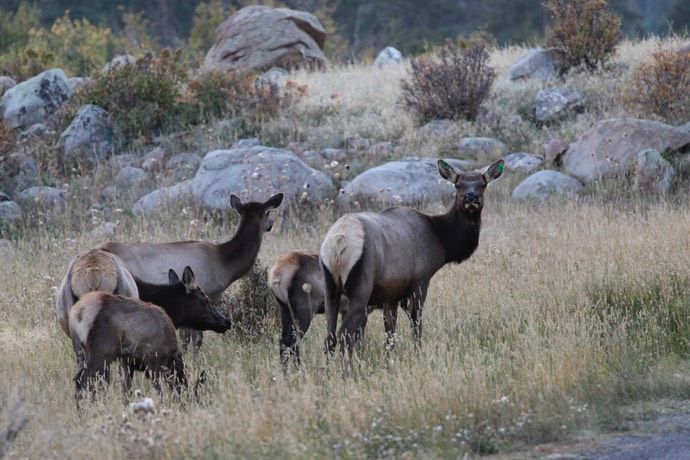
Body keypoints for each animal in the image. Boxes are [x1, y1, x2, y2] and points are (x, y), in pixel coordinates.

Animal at [71, 266, 230, 402]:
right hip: (102, 351)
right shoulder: (153, 361)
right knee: (83, 380)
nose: (226, 321)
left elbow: (126, 389)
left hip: (83, 350)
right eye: (206, 300)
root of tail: (79, 312)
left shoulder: (127, 361)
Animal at [268, 252, 424, 366]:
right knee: (292, 342)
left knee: (283, 342)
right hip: (304, 313)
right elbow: (358, 341)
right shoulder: (363, 311)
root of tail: (276, 275)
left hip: (284, 310)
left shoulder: (344, 311)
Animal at [320, 160, 502, 358]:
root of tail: (339, 243)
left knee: (329, 337)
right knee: (344, 333)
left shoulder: (392, 292)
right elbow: (416, 324)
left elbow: (390, 333)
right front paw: (418, 353)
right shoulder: (420, 280)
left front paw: (389, 360)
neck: (441, 240)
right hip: (360, 288)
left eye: (483, 184)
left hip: (331, 289)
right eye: (458, 185)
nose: (471, 198)